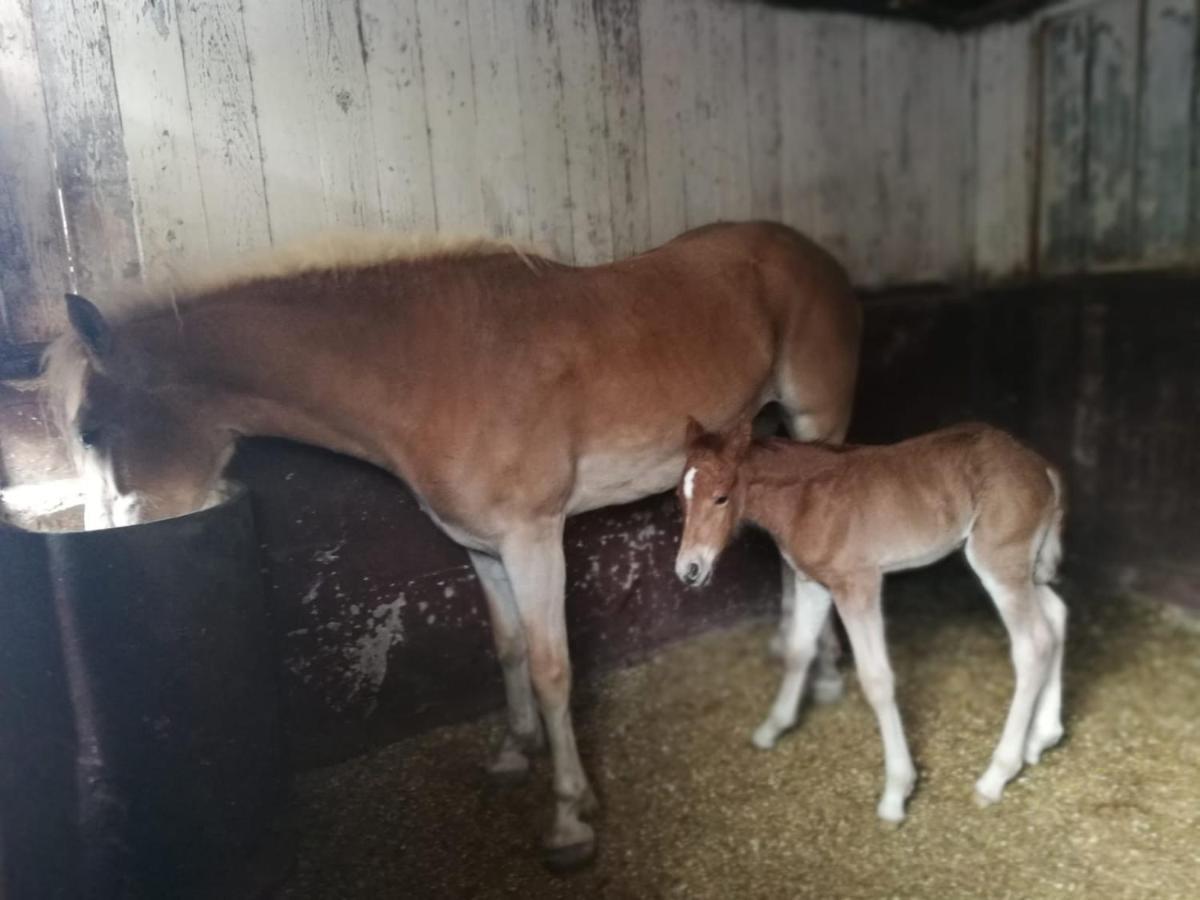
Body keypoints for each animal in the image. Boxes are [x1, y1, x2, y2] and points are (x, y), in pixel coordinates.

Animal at [42, 218, 859, 868]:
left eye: (90, 430)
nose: (102, 547)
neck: (432, 369)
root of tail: (814, 253)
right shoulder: (482, 547)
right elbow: (506, 650)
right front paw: (512, 754)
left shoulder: (534, 538)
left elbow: (552, 669)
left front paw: (570, 820)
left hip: (817, 424)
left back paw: (821, 676)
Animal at [676, 422, 1070, 825]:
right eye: (680, 496)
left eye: (721, 498)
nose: (689, 570)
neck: (806, 501)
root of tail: (1042, 468)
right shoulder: (813, 583)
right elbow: (798, 651)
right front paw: (773, 727)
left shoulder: (857, 584)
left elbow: (877, 680)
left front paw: (896, 792)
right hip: (1025, 567)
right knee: (1056, 617)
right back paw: (1042, 737)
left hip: (998, 561)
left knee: (1034, 644)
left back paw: (996, 776)